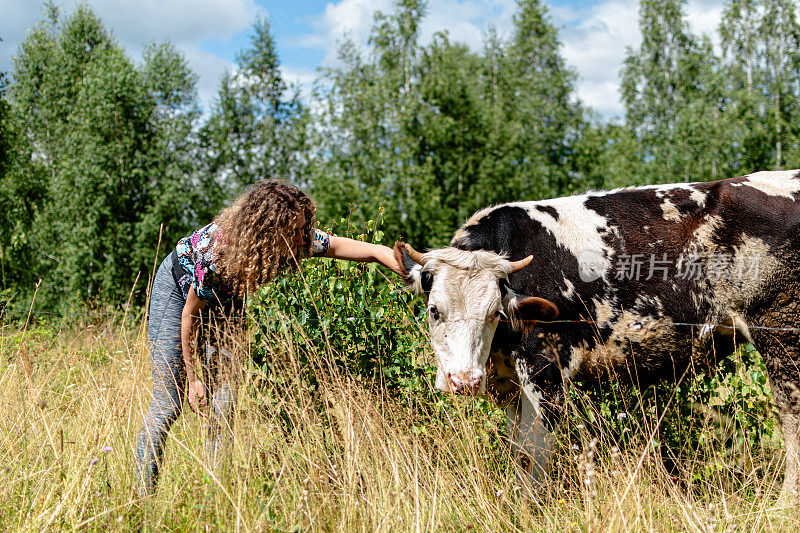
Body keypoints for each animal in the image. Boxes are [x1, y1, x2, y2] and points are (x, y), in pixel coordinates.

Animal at [392, 171, 800, 502]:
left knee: (792, 417)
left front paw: (532, 508)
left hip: (782, 333)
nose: (464, 380)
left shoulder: (546, 369)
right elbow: (518, 451)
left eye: (494, 312)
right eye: (434, 310)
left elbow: (535, 449)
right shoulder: (511, 384)